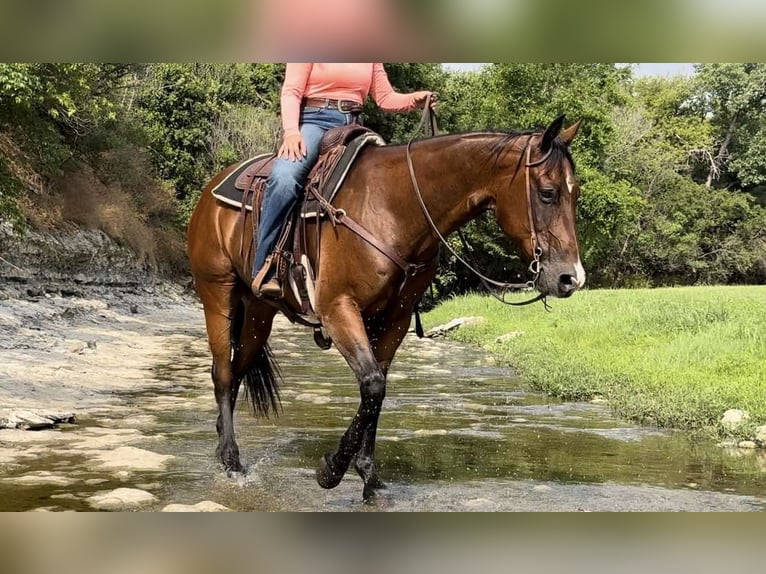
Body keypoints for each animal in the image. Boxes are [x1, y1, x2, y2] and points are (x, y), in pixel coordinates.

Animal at [188, 116, 588, 500]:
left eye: (576, 193)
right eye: (548, 193)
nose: (571, 278)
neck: (395, 208)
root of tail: (212, 188)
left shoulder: (395, 319)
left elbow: (377, 391)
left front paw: (368, 476)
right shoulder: (338, 309)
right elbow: (372, 385)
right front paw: (331, 471)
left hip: (259, 313)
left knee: (237, 370)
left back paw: (223, 449)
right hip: (218, 296)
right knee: (223, 373)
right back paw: (231, 462)